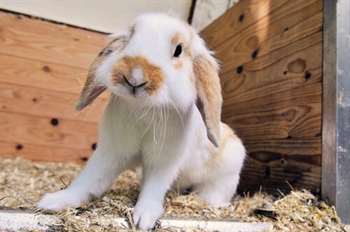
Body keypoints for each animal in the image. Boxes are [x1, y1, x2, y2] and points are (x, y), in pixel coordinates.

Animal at [37, 13, 246, 230]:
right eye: (130, 37)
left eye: (178, 50)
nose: (135, 76)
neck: (142, 109)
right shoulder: (111, 152)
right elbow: (90, 178)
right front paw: (54, 201)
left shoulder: (163, 161)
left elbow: (154, 188)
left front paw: (143, 218)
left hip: (225, 176)